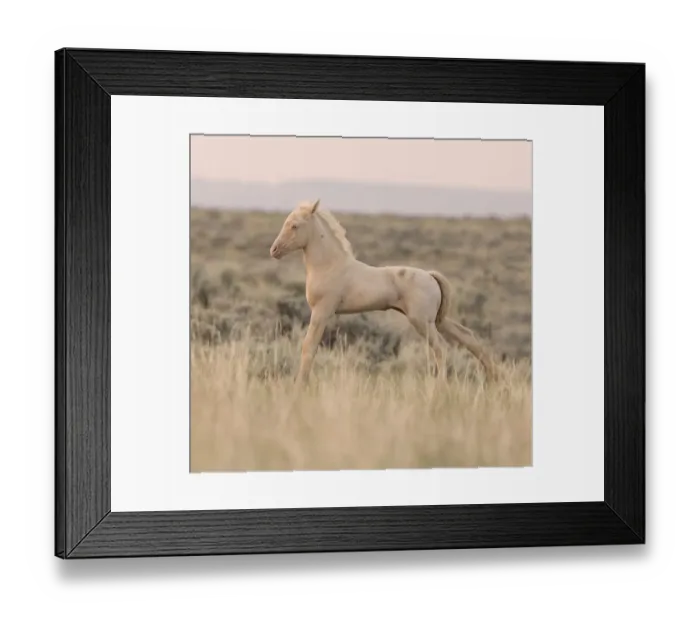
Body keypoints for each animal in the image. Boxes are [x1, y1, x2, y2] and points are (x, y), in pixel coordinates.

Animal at [269, 199, 499, 384]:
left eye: (295, 225)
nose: (274, 250)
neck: (329, 266)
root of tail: (430, 275)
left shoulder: (321, 311)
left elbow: (308, 347)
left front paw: (300, 385)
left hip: (422, 321)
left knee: (441, 347)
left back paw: (442, 386)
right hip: (436, 320)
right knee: (468, 336)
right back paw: (493, 379)